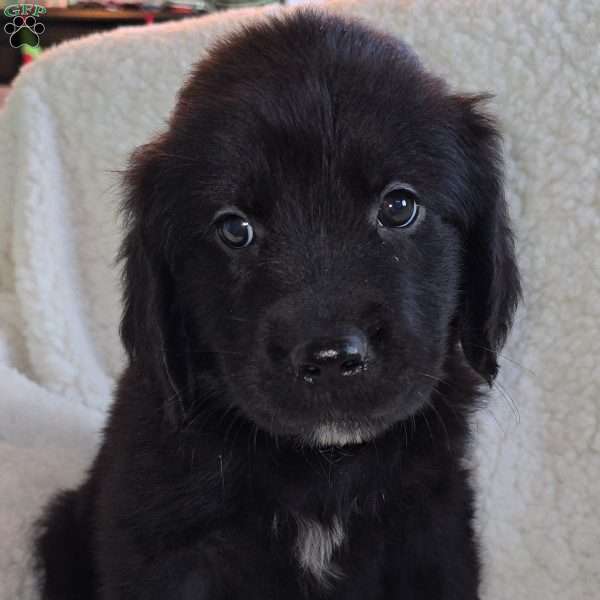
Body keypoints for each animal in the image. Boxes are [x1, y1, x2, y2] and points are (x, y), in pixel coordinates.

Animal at [34, 10, 520, 600]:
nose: (331, 358)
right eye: (234, 229)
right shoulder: (165, 544)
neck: (324, 467)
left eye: (399, 206)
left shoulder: (433, 528)